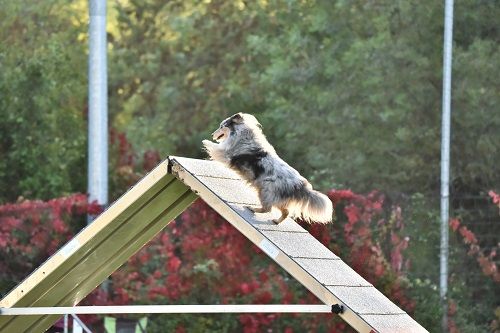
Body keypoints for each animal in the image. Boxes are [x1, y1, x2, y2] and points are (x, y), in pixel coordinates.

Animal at [201, 111, 334, 223]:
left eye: (222, 126)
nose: (212, 134)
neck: (242, 133)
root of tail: (301, 186)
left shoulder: (226, 153)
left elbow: (214, 147)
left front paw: (205, 141)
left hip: (266, 191)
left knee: (267, 209)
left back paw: (252, 208)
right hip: (277, 198)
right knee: (285, 212)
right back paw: (276, 221)